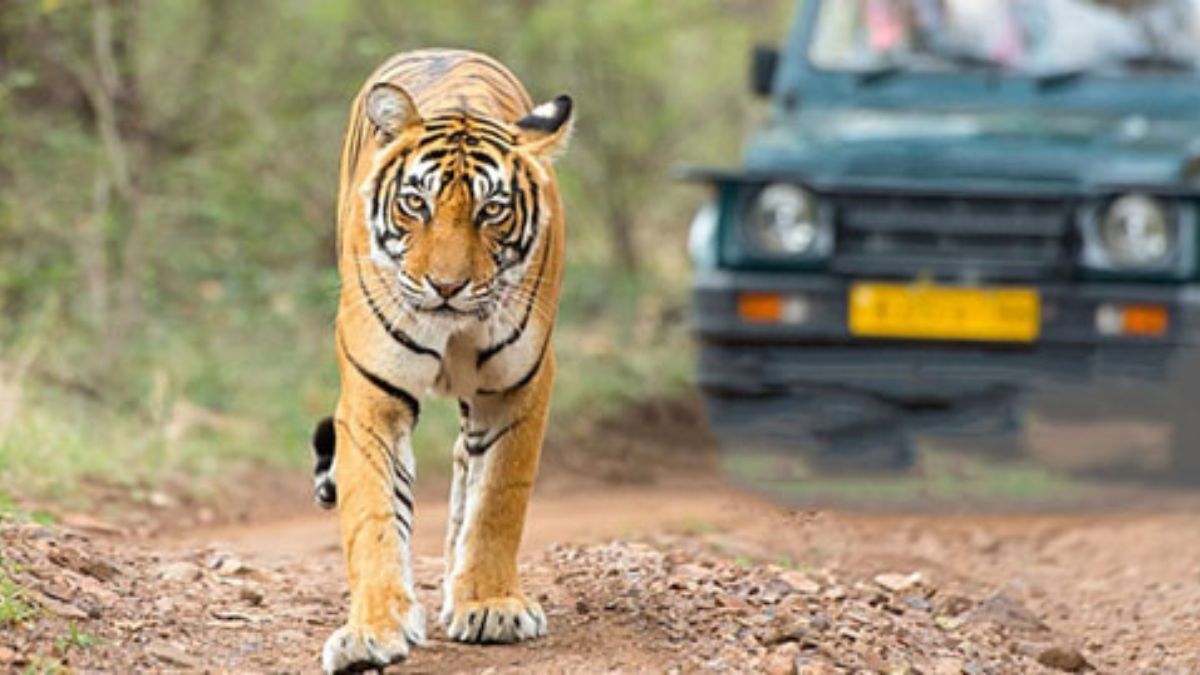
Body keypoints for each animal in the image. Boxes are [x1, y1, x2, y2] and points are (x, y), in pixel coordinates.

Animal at [311, 48, 572, 674]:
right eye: (416, 203)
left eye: (492, 211)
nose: (447, 287)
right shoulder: (372, 396)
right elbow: (374, 514)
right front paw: (371, 632)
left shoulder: (518, 387)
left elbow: (498, 498)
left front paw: (490, 604)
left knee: (465, 467)